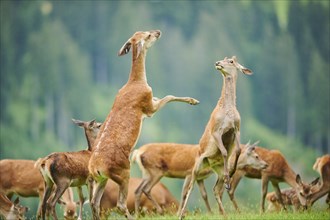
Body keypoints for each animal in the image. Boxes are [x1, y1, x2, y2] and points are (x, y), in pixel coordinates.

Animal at [87, 29, 200, 220]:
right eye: (147, 36)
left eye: (141, 31)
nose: (158, 31)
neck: (136, 82)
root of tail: (95, 168)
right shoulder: (148, 106)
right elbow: (168, 96)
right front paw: (193, 100)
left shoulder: (150, 102)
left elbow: (164, 96)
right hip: (123, 172)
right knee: (120, 204)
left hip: (101, 179)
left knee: (95, 203)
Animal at [130, 141, 266, 215]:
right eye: (256, 156)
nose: (266, 164)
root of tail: (137, 152)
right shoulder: (190, 173)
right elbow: (184, 193)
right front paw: (179, 213)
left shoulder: (200, 178)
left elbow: (204, 195)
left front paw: (210, 213)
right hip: (156, 171)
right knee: (146, 189)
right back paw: (160, 211)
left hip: (147, 173)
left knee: (137, 190)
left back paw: (136, 215)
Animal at [178, 55, 253, 219]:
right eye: (223, 58)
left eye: (231, 61)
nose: (217, 63)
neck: (228, 112)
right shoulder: (216, 130)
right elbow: (224, 151)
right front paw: (229, 177)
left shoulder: (237, 129)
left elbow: (237, 150)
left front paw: (231, 173)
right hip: (198, 165)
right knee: (191, 187)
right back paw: (181, 215)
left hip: (215, 169)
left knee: (215, 189)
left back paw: (224, 212)